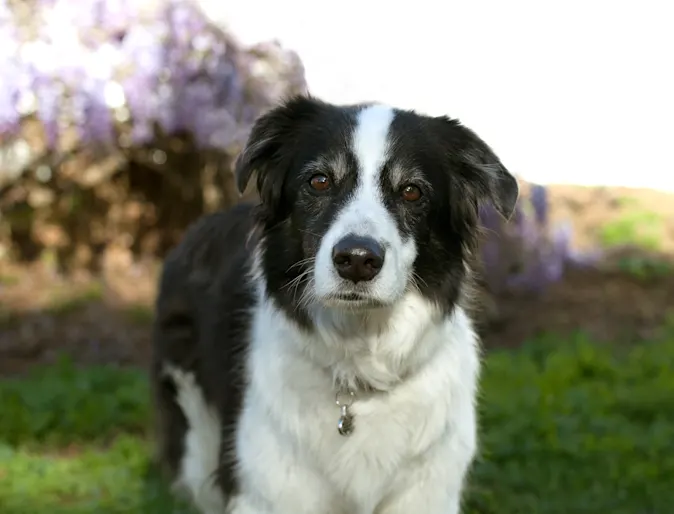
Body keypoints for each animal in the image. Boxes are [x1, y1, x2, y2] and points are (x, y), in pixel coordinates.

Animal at [152, 93, 516, 512]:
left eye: (412, 191)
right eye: (320, 181)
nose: (357, 260)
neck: (359, 372)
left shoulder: (428, 492)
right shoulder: (265, 491)